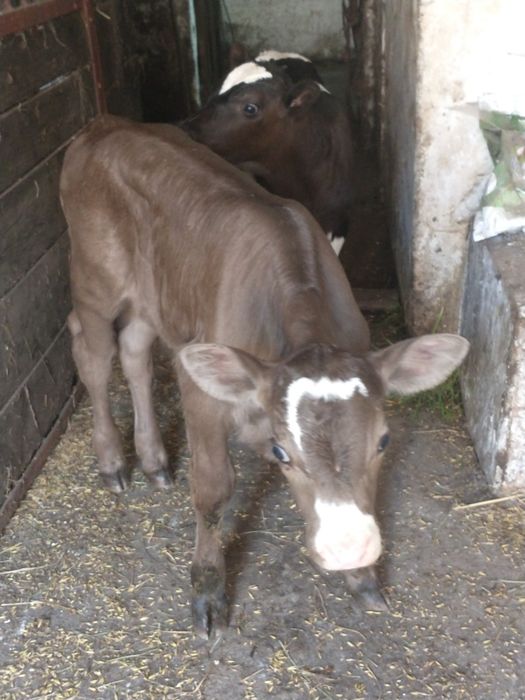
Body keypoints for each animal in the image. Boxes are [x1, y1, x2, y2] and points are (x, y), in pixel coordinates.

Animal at [59, 116, 468, 640]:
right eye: (281, 453)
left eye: (384, 441)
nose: (349, 548)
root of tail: (104, 125)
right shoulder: (201, 394)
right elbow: (213, 492)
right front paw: (207, 590)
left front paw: (362, 578)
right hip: (95, 279)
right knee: (92, 353)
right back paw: (113, 462)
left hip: (156, 296)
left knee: (134, 351)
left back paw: (153, 460)